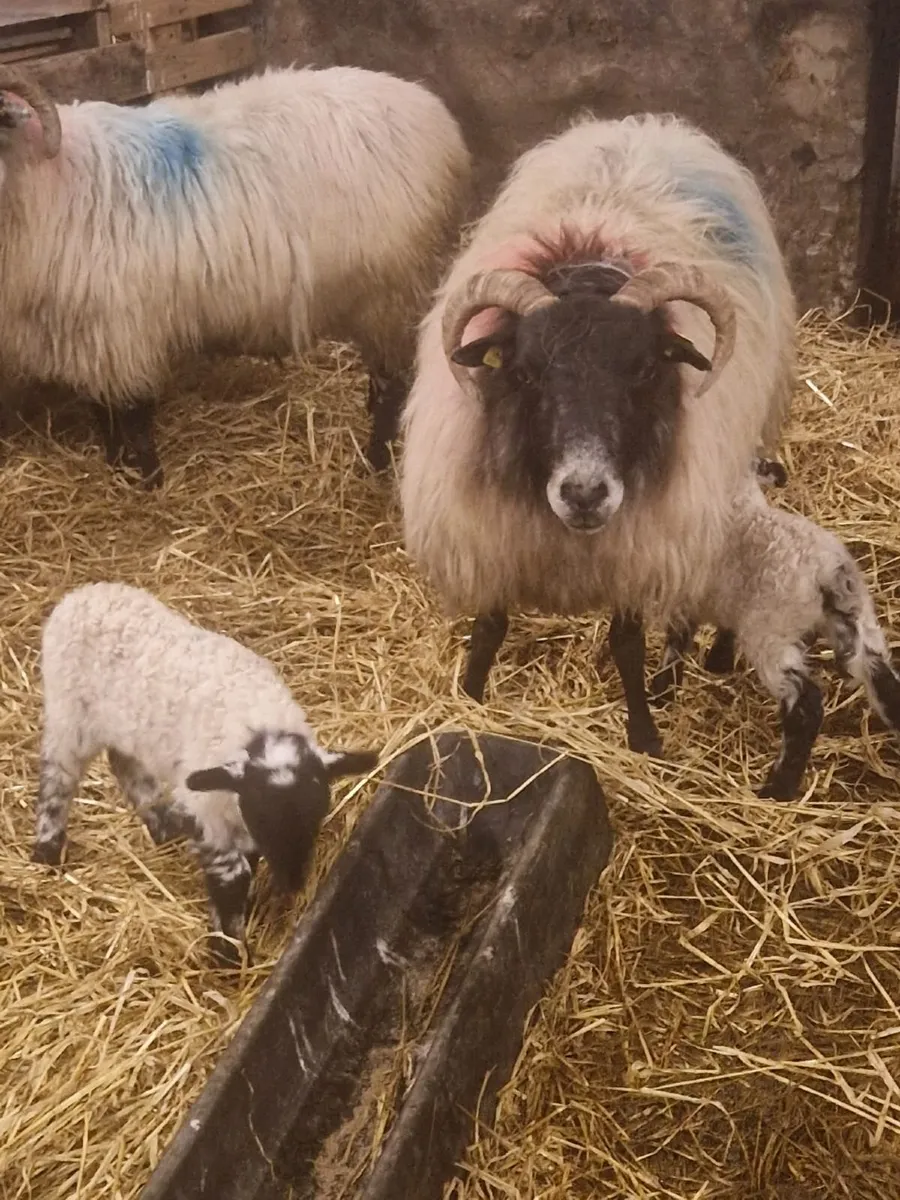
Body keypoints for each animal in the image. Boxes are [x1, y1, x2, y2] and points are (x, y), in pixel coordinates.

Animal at [0, 64, 471, 486]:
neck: (46, 177)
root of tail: (435, 115)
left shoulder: (121, 329)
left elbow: (133, 413)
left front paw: (148, 478)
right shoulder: (83, 335)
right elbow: (102, 411)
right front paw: (117, 467)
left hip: (392, 289)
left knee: (395, 382)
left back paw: (375, 463)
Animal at [30, 582, 379, 964]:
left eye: (316, 815)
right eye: (262, 818)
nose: (292, 882)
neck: (259, 727)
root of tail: (82, 593)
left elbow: (247, 864)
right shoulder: (208, 809)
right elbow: (231, 876)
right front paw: (227, 952)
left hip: (124, 727)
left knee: (123, 763)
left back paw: (164, 827)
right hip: (69, 715)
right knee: (57, 777)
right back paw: (47, 851)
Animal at [399, 113, 796, 733]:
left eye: (644, 369)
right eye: (525, 373)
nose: (584, 493)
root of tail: (648, 125)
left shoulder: (637, 551)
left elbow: (626, 645)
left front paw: (644, 734)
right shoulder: (489, 538)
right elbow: (488, 632)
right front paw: (469, 701)